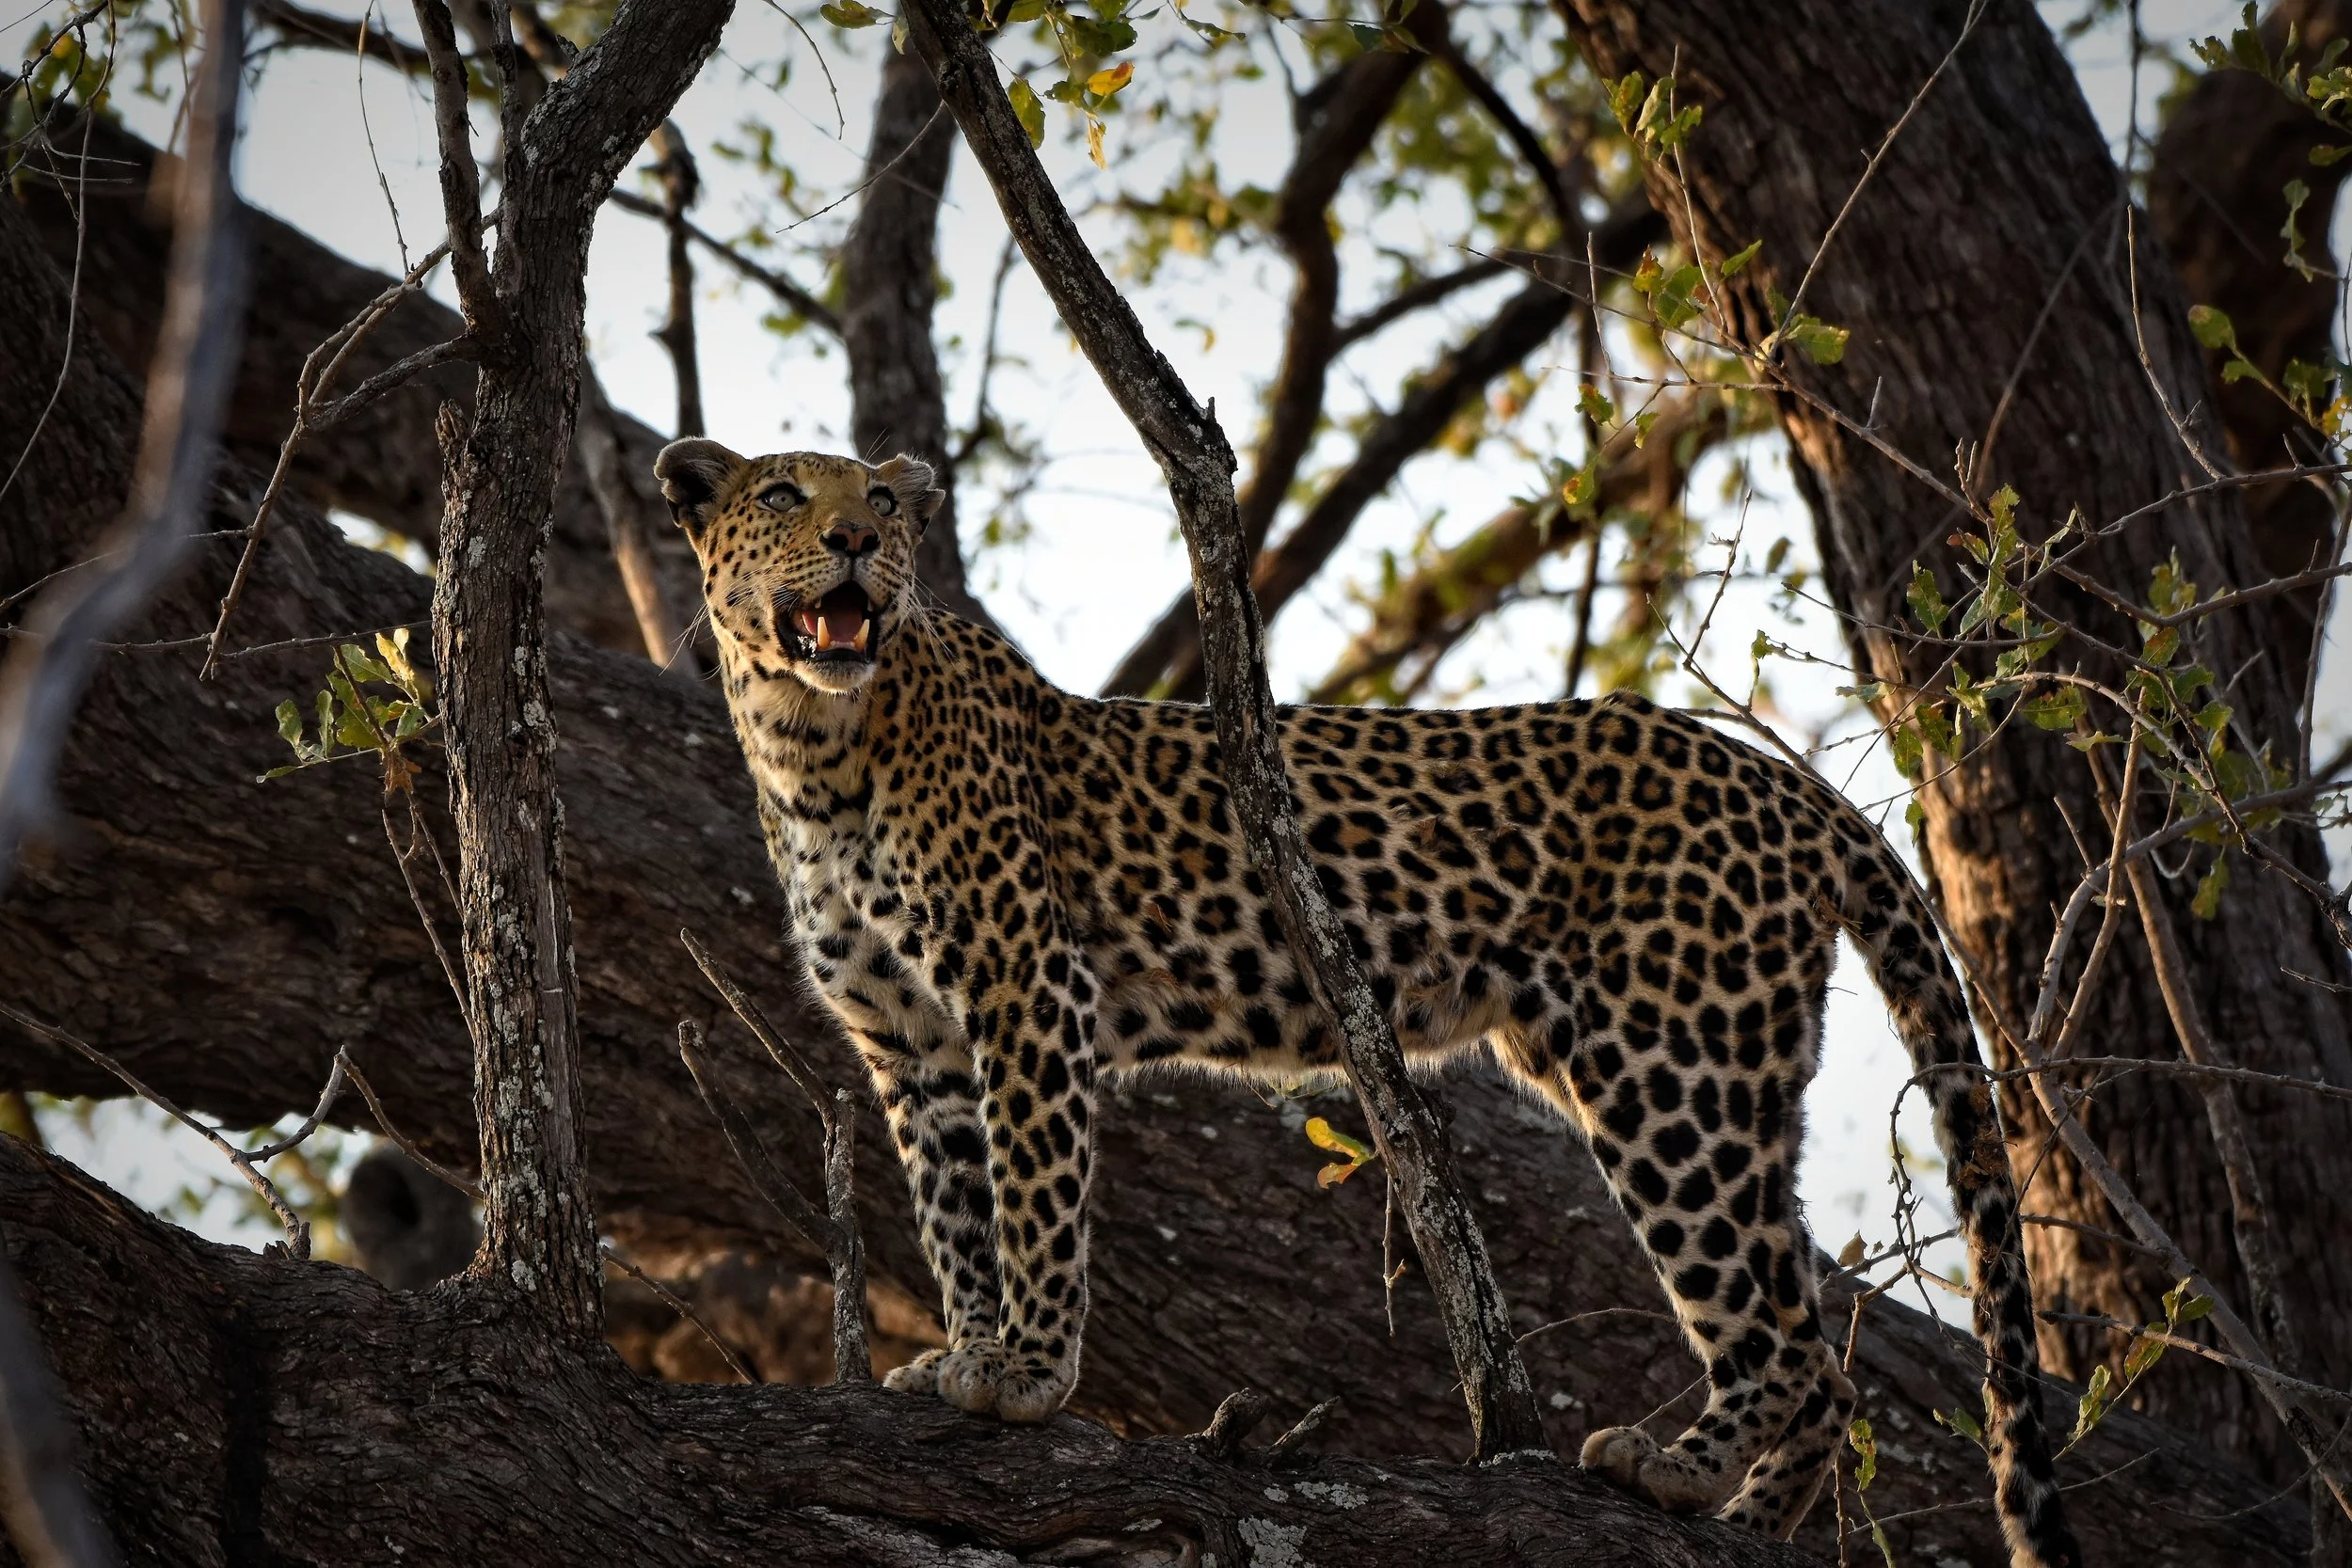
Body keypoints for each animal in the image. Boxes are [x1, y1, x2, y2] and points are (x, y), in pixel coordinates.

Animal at [654, 437, 2080, 1568]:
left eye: (887, 502)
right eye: (784, 492)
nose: (855, 540)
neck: (810, 748)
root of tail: (1777, 777)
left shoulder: (1024, 988)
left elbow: (1037, 1199)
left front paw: (1028, 1373)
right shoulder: (913, 1042)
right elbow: (955, 1213)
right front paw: (956, 1350)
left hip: (1669, 1069)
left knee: (1780, 1333)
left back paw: (1672, 1466)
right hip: (1725, 1069)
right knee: (1819, 1351)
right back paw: (1745, 1514)